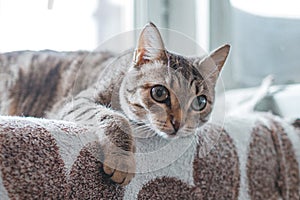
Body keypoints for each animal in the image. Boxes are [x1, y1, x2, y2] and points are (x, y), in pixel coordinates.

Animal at [0, 22, 230, 185]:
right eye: (159, 92)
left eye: (200, 102)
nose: (179, 124)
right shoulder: (75, 103)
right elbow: (115, 117)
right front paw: (122, 159)